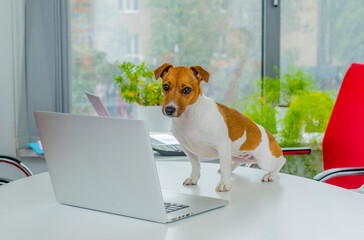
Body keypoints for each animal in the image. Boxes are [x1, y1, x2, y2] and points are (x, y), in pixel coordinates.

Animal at [152, 62, 286, 192]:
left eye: (186, 90)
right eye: (165, 87)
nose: (169, 109)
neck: (189, 118)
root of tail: (270, 135)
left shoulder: (222, 146)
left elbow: (223, 166)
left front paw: (224, 183)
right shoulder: (187, 149)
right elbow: (195, 164)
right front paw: (194, 178)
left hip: (266, 161)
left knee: (281, 161)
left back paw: (270, 175)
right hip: (238, 155)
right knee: (241, 161)